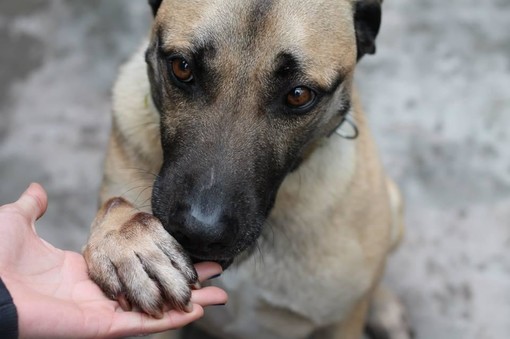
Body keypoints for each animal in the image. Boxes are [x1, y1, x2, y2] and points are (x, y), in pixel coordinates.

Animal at [83, 0, 410, 338]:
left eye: (299, 95)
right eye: (182, 67)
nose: (199, 233)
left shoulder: (341, 324)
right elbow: (115, 204)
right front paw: (129, 239)